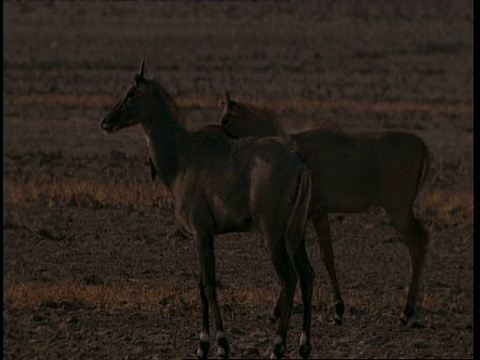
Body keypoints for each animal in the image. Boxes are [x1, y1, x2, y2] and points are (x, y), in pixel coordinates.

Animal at [101, 60, 316, 358]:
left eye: (131, 93)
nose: (107, 121)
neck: (181, 154)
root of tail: (299, 162)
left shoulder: (201, 232)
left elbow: (209, 283)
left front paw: (220, 344)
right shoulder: (202, 235)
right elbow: (201, 283)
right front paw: (204, 345)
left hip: (273, 233)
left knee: (288, 278)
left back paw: (277, 345)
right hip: (295, 232)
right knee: (307, 275)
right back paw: (304, 346)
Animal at [218, 90, 432, 326]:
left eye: (226, 119)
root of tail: (422, 147)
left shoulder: (301, 217)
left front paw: (277, 311)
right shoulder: (319, 214)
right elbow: (327, 256)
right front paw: (338, 309)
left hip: (398, 210)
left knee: (418, 243)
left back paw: (407, 311)